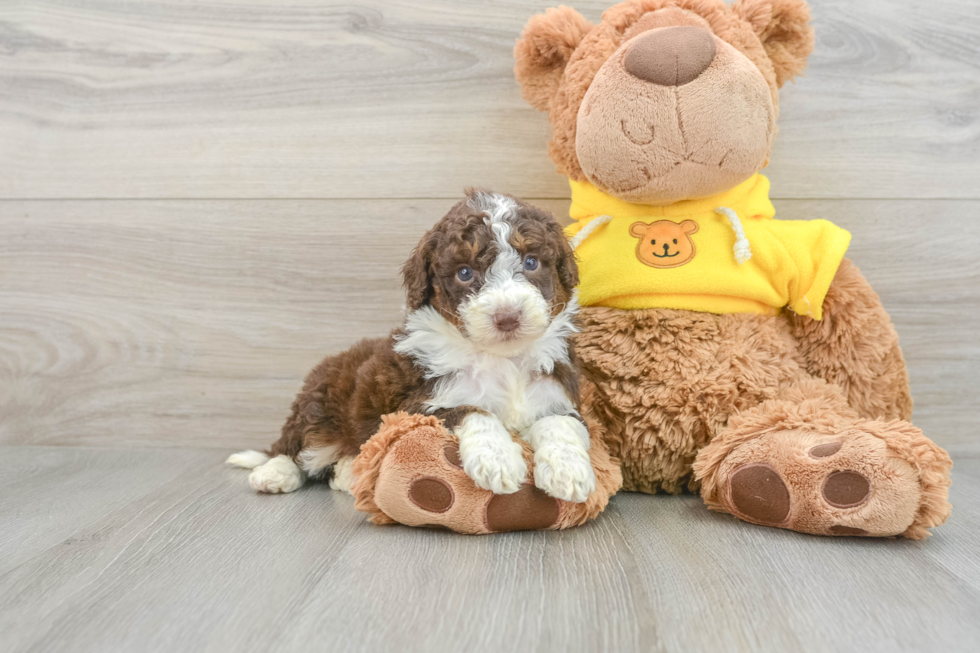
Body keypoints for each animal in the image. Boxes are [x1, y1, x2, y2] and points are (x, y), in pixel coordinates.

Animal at [228, 191, 596, 502]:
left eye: (531, 262)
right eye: (465, 273)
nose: (507, 317)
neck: (501, 360)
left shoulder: (557, 395)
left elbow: (559, 423)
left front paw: (569, 472)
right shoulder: (418, 404)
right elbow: (473, 410)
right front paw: (498, 460)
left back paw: (347, 473)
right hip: (317, 406)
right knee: (295, 446)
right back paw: (274, 473)